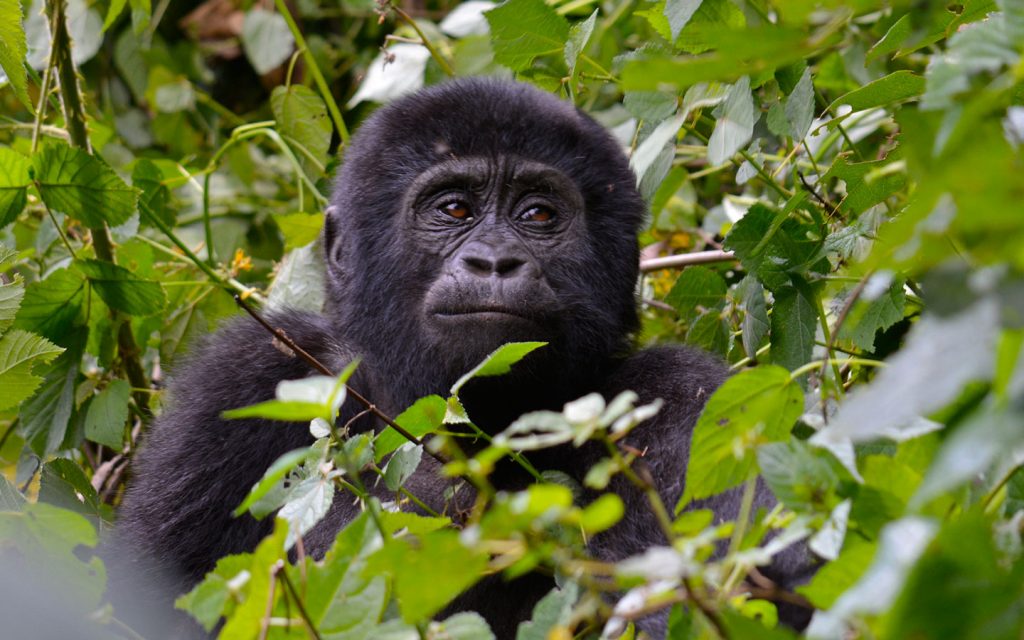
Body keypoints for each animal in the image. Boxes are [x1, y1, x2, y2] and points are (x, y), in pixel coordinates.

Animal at [114, 78, 814, 638]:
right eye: (454, 208)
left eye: (539, 214)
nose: (495, 261)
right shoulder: (244, 380)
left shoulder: (681, 395)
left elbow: (761, 583)